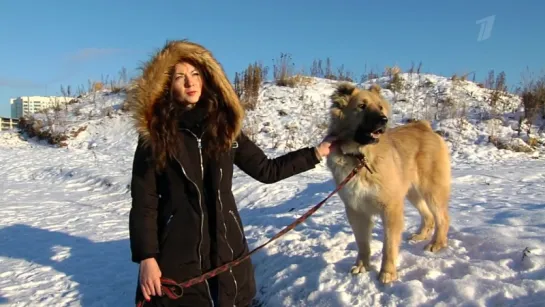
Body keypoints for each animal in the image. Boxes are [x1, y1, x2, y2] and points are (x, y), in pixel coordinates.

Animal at [324, 83, 450, 286]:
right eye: (361, 106)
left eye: (380, 107)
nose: (384, 120)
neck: (360, 158)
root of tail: (423, 126)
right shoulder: (356, 210)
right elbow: (362, 243)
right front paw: (362, 266)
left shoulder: (391, 207)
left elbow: (389, 245)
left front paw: (387, 273)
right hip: (412, 192)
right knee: (429, 216)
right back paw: (420, 236)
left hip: (431, 190)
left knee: (443, 218)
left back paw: (436, 243)